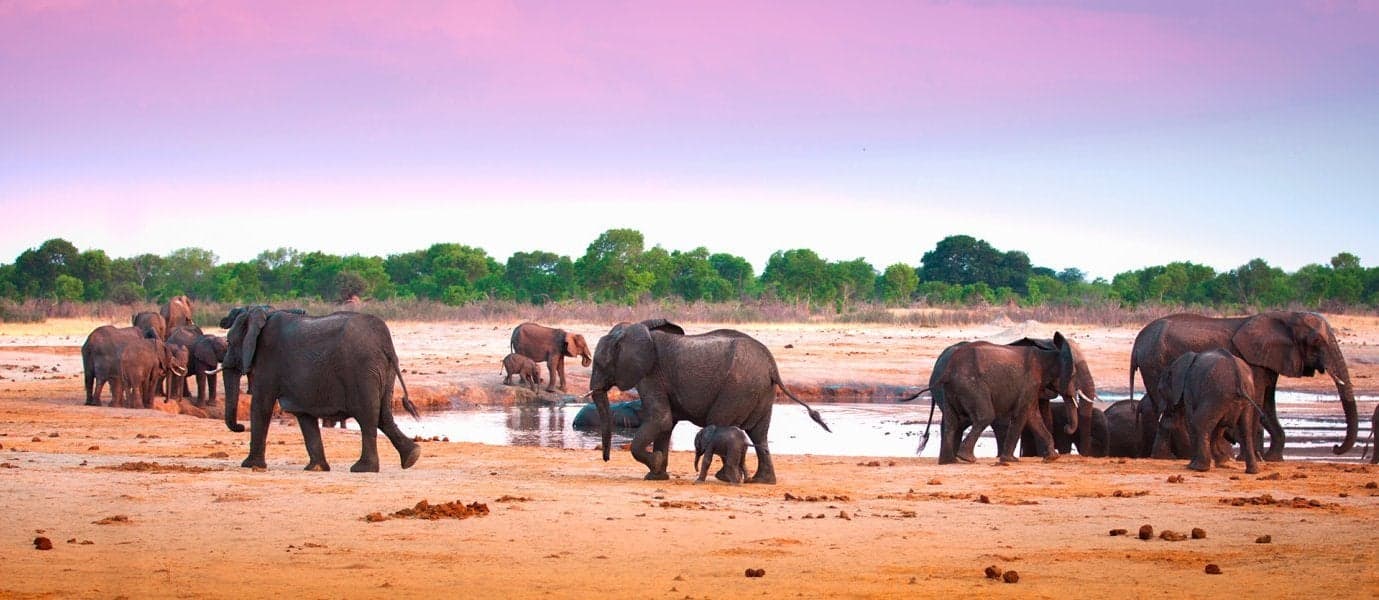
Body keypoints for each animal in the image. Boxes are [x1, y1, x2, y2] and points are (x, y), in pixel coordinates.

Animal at [221, 307, 421, 472]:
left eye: (229, 342)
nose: (240, 427)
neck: (262, 313)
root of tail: (384, 342)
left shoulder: (267, 358)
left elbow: (261, 404)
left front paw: (249, 465)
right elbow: (303, 415)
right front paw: (316, 468)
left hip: (362, 368)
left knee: (367, 415)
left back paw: (363, 469)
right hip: (384, 369)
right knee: (383, 414)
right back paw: (411, 457)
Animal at [588, 320, 830, 484]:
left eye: (599, 364)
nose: (606, 459)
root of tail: (772, 366)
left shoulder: (650, 374)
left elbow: (661, 419)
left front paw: (655, 464)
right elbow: (666, 424)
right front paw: (656, 476)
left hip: (737, 389)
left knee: (723, 423)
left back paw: (725, 478)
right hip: (760, 391)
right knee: (759, 433)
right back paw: (761, 481)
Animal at [1130, 312, 1356, 461]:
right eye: (1316, 341)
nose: (1335, 447)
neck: (1284, 316)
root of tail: (1137, 342)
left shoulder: (1268, 360)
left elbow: (1267, 402)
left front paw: (1271, 459)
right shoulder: (1253, 359)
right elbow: (1258, 398)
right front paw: (1255, 457)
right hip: (1155, 363)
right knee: (1171, 410)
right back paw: (1175, 457)